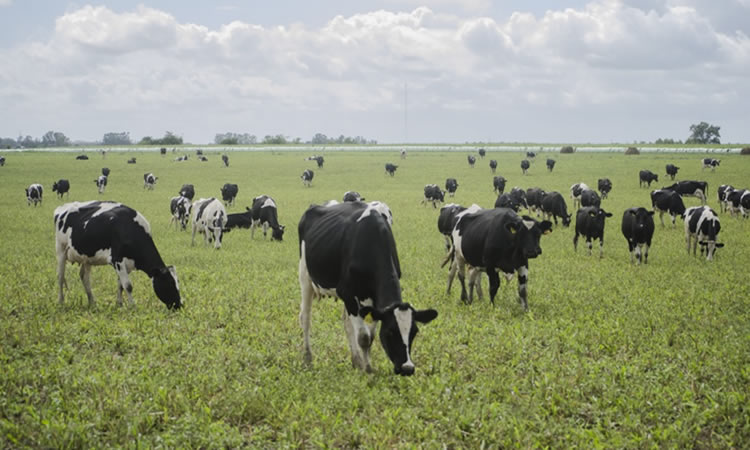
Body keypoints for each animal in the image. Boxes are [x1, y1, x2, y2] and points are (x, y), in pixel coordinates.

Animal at [54, 201, 182, 310]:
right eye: (170, 283)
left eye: (178, 282)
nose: (179, 305)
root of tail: (62, 207)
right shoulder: (117, 260)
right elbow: (128, 286)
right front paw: (133, 306)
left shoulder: (126, 264)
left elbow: (121, 285)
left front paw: (119, 304)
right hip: (61, 250)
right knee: (60, 276)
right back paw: (61, 301)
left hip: (87, 257)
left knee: (84, 277)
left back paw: (92, 302)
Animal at [298, 201, 440, 376]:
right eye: (390, 332)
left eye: (414, 332)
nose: (407, 368)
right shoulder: (349, 294)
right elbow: (364, 337)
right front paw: (367, 370)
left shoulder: (374, 302)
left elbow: (369, 336)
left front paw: (365, 365)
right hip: (305, 276)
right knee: (305, 318)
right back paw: (308, 358)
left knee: (346, 323)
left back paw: (356, 360)